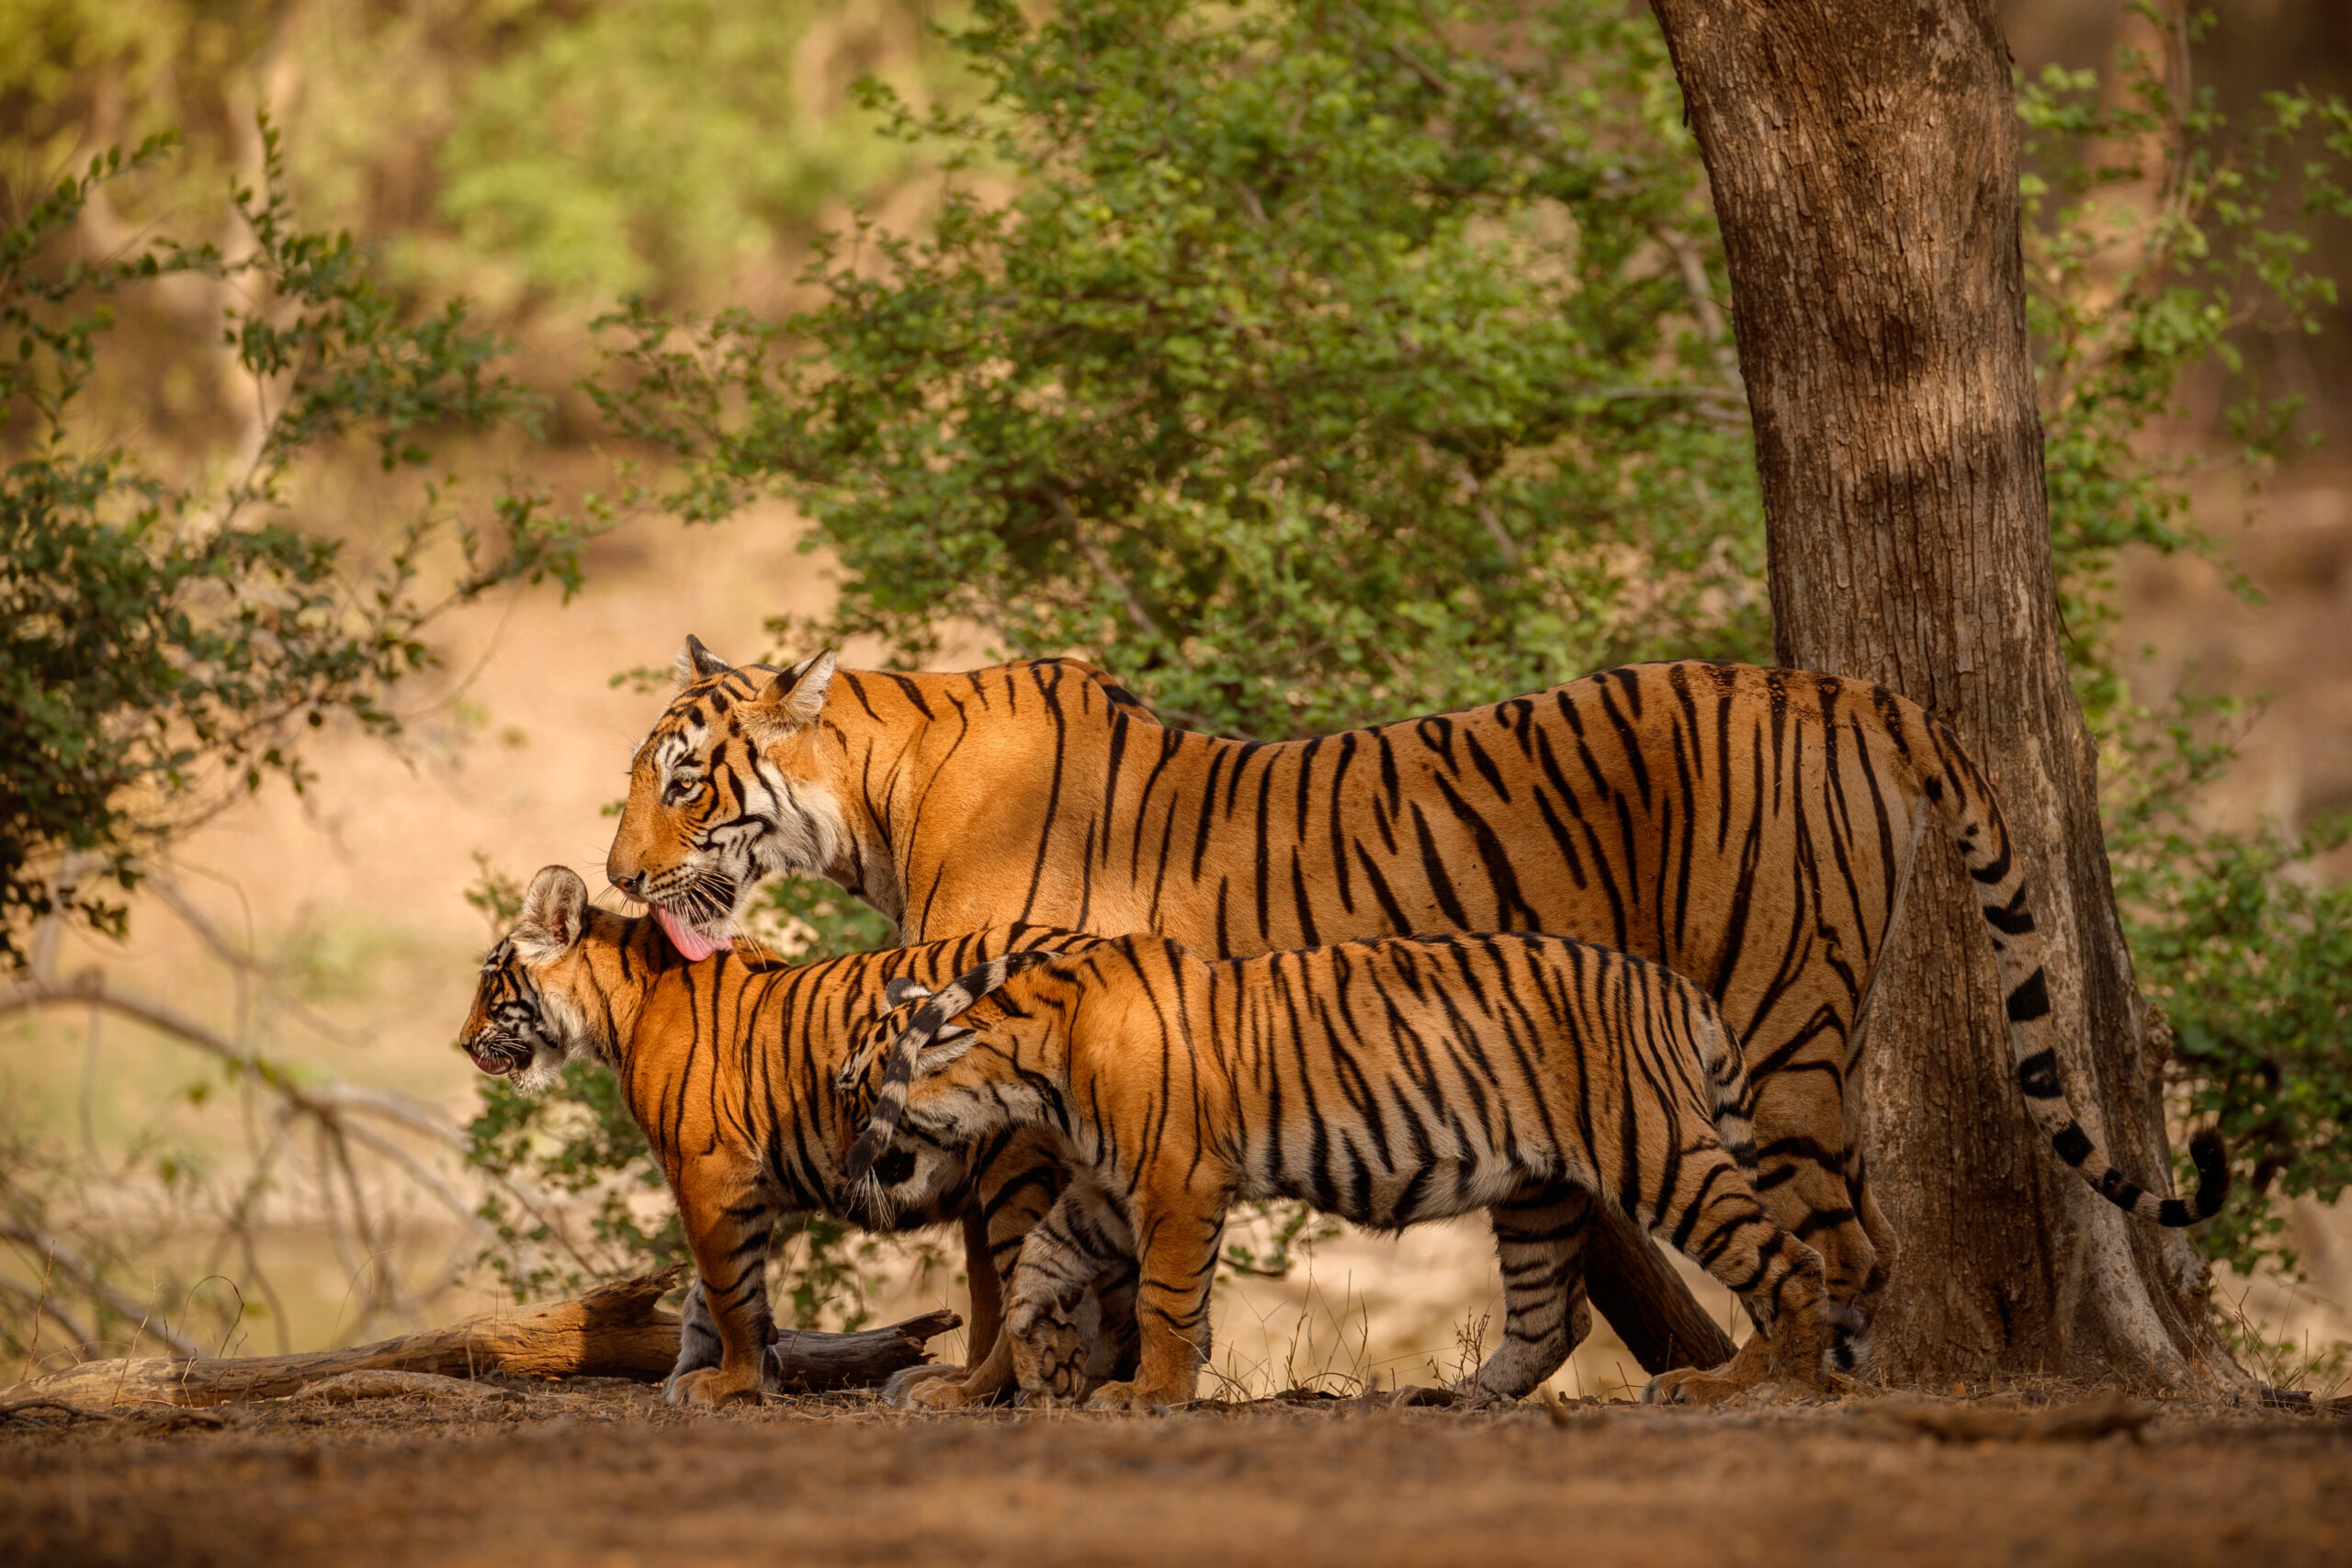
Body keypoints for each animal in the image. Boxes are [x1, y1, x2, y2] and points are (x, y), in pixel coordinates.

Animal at [606, 644, 2220, 1401]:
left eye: (684, 780)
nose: (617, 874)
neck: (874, 805)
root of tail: (1830, 683)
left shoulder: (1010, 1067)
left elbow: (1002, 1255)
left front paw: (996, 1381)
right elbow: (1072, 1249)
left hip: (1772, 1022)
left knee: (1837, 1241)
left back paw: (1765, 1381)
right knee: (1629, 1267)